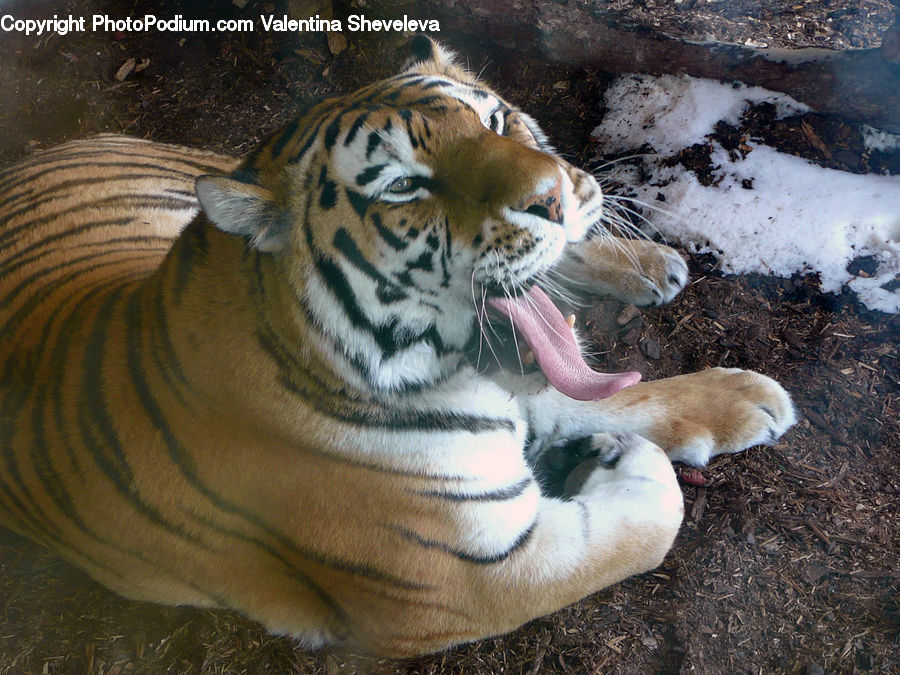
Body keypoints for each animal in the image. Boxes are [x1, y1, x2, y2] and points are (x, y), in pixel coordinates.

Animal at [0, 36, 796, 657]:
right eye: (405, 187)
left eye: (497, 120)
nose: (554, 199)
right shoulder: (474, 581)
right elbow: (656, 513)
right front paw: (623, 458)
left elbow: (627, 397)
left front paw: (746, 396)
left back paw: (651, 263)